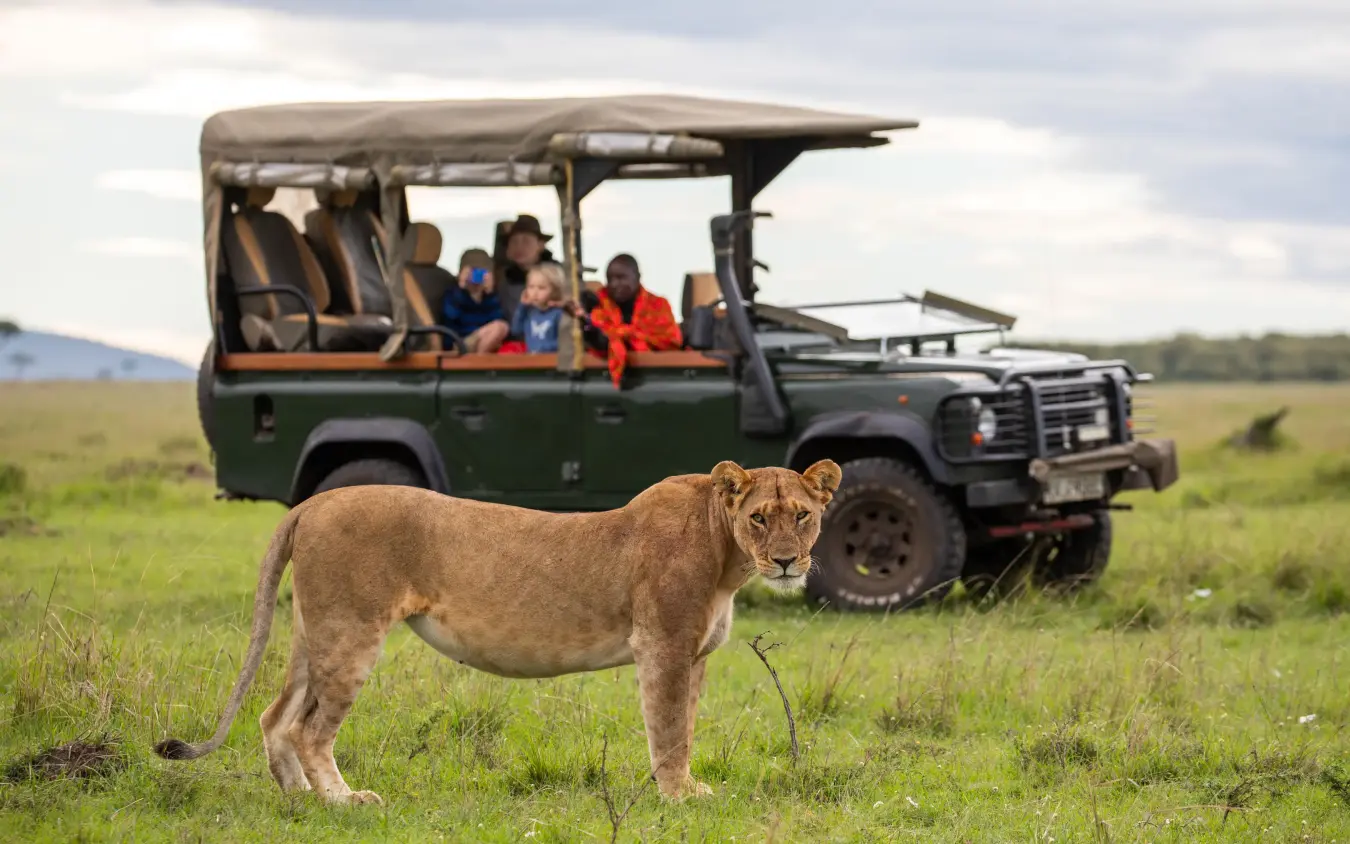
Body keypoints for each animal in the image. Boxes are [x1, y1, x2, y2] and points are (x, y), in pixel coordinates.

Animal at [153, 458, 842, 805]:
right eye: (760, 518)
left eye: (803, 516)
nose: (787, 562)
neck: (726, 552)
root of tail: (314, 502)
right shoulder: (665, 648)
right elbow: (670, 731)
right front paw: (680, 798)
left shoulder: (694, 656)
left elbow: (687, 730)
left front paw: (686, 787)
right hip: (350, 633)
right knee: (308, 728)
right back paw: (343, 802)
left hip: (313, 633)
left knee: (275, 715)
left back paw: (298, 800)